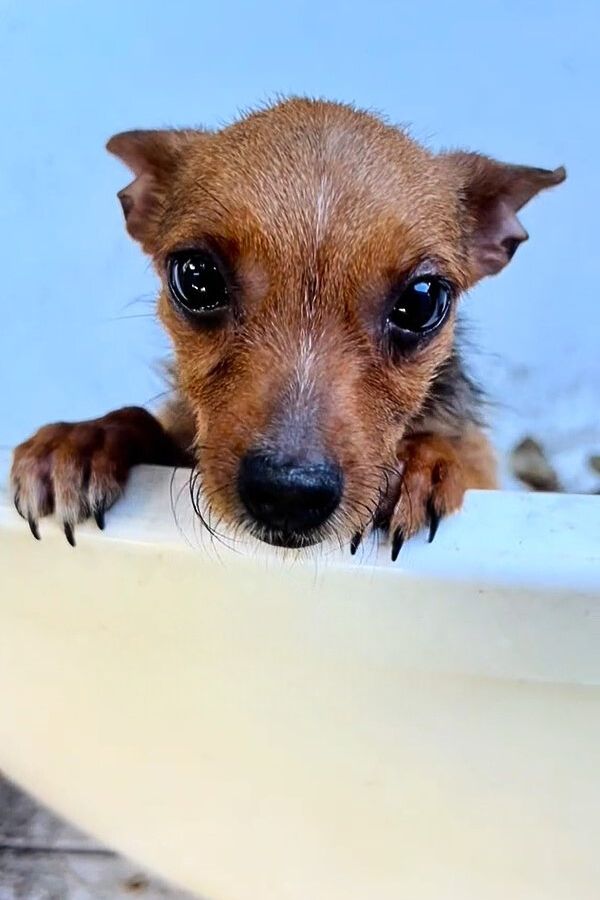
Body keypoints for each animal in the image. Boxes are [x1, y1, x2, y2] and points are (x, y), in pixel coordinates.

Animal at [9, 102, 564, 560]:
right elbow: (144, 421)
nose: (289, 495)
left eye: (423, 300)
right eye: (196, 277)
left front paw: (417, 464)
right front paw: (85, 439)